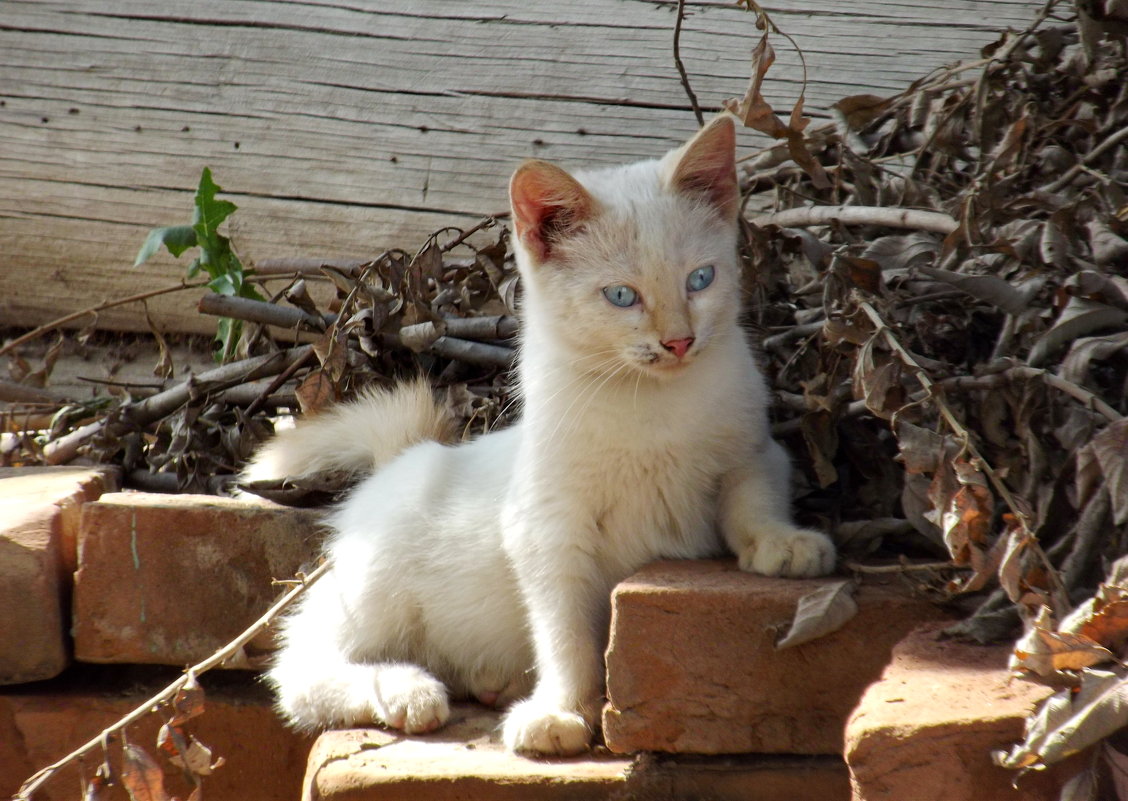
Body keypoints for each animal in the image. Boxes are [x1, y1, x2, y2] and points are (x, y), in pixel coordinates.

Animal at [251, 114, 834, 758]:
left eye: (700, 279)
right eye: (622, 295)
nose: (679, 341)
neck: (652, 404)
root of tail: (403, 460)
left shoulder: (758, 452)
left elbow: (752, 499)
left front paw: (783, 543)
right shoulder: (548, 530)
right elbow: (565, 631)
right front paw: (561, 710)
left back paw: (489, 678)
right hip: (372, 590)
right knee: (299, 669)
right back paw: (406, 691)